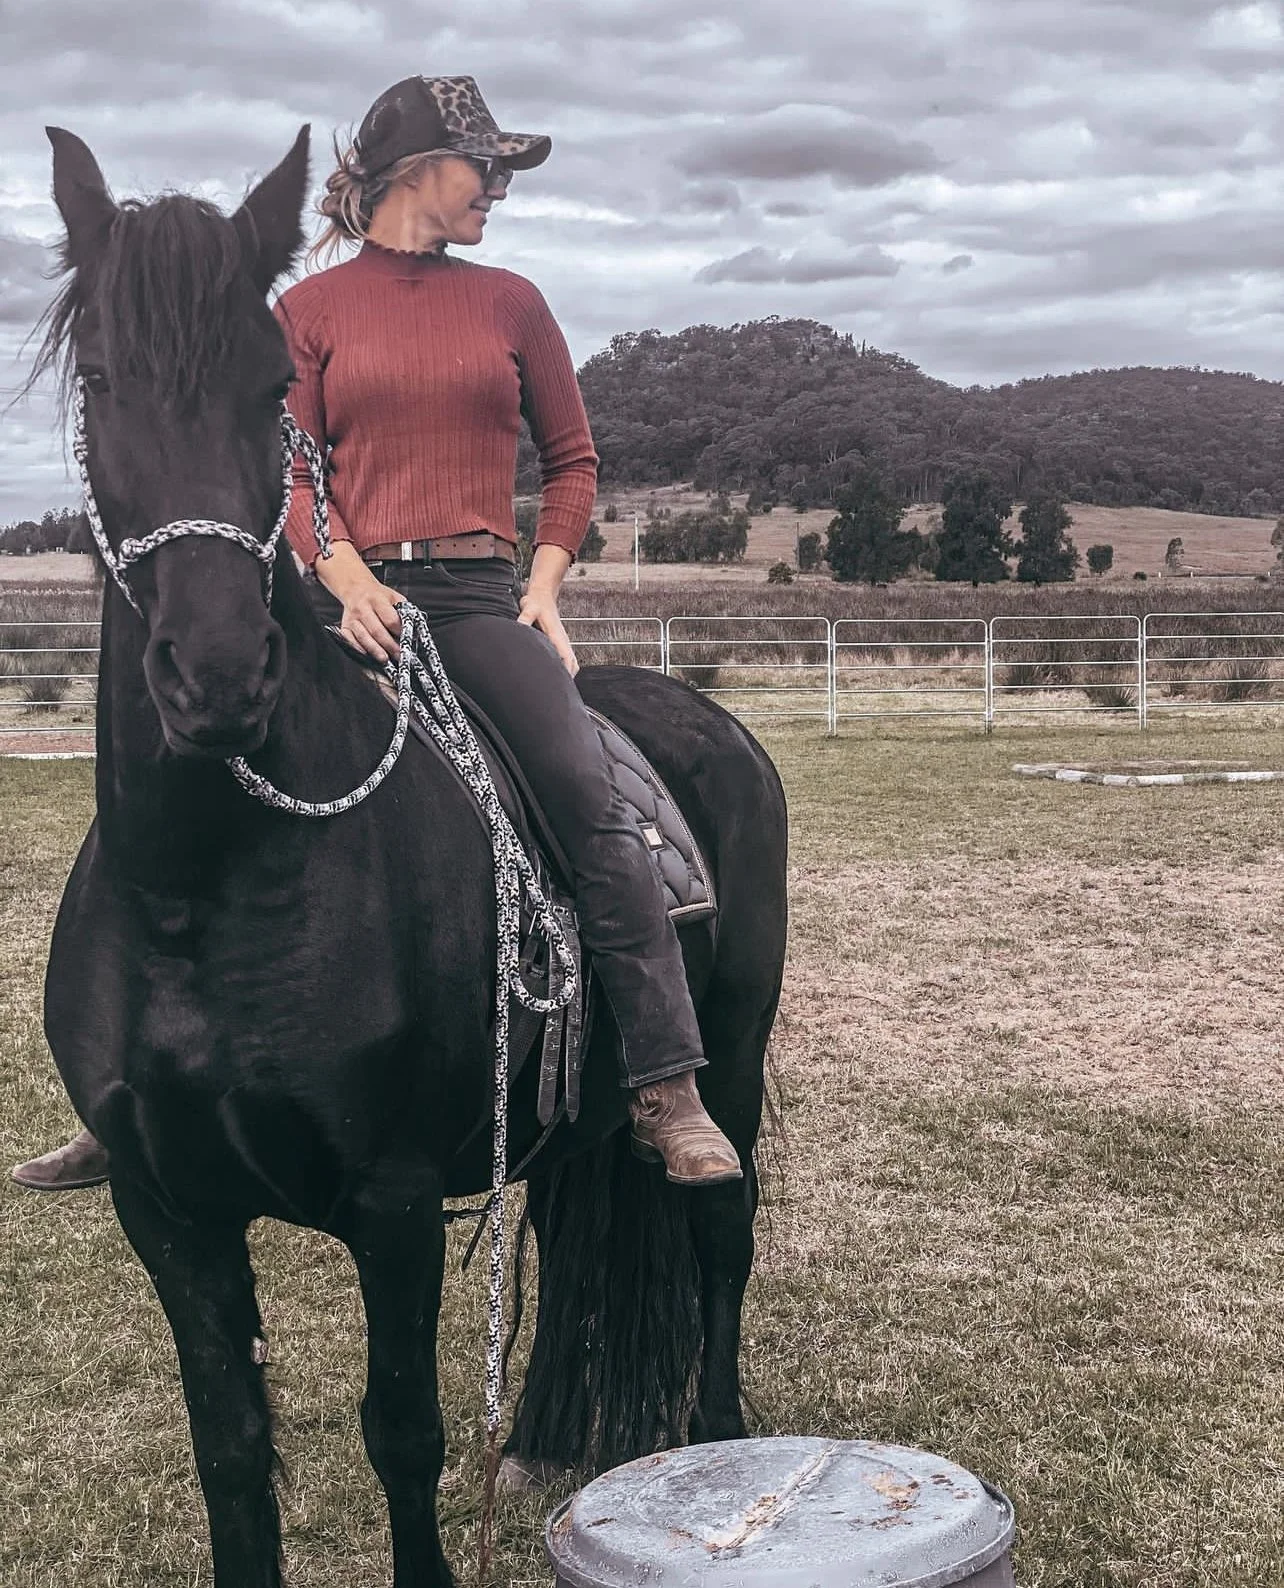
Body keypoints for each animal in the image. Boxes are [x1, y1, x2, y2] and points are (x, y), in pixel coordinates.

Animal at [35, 124, 788, 1588]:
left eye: (270, 384)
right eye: (98, 379)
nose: (220, 675)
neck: (206, 893)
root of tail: (707, 724)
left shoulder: (387, 1210)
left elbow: (400, 1433)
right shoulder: (168, 1213)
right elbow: (231, 1454)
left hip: (727, 1057)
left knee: (721, 1232)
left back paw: (719, 1432)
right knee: (567, 1211)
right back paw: (547, 1440)